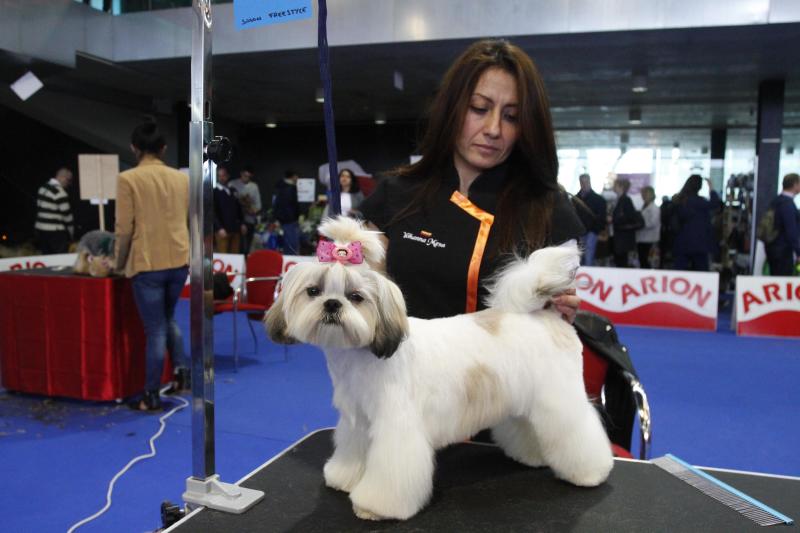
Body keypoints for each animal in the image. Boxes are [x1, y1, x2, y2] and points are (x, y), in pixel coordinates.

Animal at [264, 215, 612, 520]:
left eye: (356, 296)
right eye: (313, 291)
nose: (332, 304)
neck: (362, 356)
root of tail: (544, 313)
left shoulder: (397, 428)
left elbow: (391, 474)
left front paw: (376, 507)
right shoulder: (357, 421)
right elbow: (352, 451)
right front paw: (344, 477)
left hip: (558, 397)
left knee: (578, 430)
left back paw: (591, 471)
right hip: (522, 398)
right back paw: (532, 456)